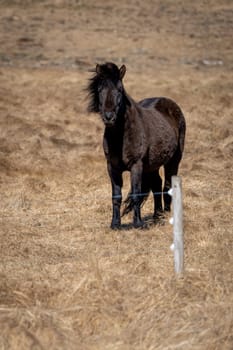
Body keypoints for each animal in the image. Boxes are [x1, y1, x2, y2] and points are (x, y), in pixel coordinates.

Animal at [87, 63, 186, 230]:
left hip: (173, 160)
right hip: (152, 165)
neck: (122, 136)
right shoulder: (112, 167)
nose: (108, 117)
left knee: (167, 184)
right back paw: (157, 216)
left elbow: (136, 194)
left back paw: (166, 216)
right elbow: (116, 196)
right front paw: (115, 224)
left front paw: (138, 223)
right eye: (100, 89)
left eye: (119, 90)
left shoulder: (136, 166)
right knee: (157, 184)